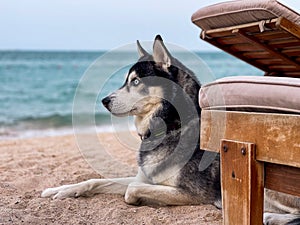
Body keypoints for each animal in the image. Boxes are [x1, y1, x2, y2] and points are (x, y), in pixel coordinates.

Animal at [42, 35, 300, 225]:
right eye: (126, 81)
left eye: (136, 81)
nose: (104, 101)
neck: (170, 127)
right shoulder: (145, 177)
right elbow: (94, 180)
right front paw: (60, 190)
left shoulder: (190, 193)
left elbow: (132, 190)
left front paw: (138, 200)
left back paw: (270, 216)